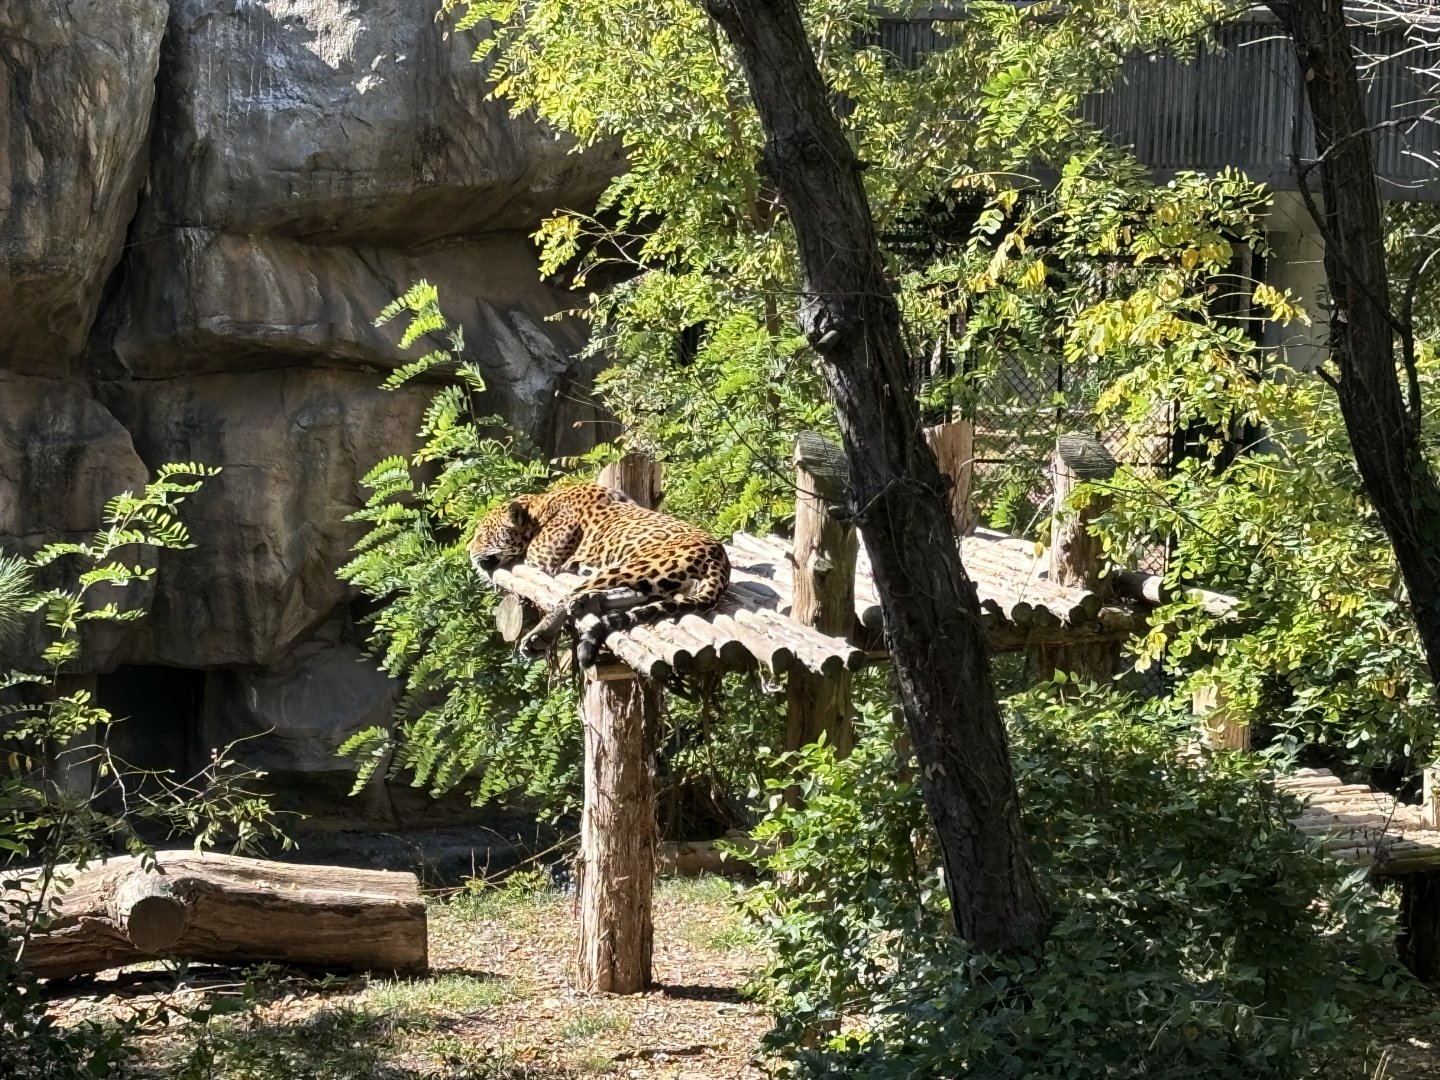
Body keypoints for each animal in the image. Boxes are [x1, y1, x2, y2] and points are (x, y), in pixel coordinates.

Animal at [468, 482, 730, 668]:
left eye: (483, 535)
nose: (469, 551)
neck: (538, 509)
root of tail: (720, 561)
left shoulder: (540, 560)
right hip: (655, 577)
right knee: (640, 594)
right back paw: (590, 601)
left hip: (633, 564)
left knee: (566, 600)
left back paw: (541, 634)